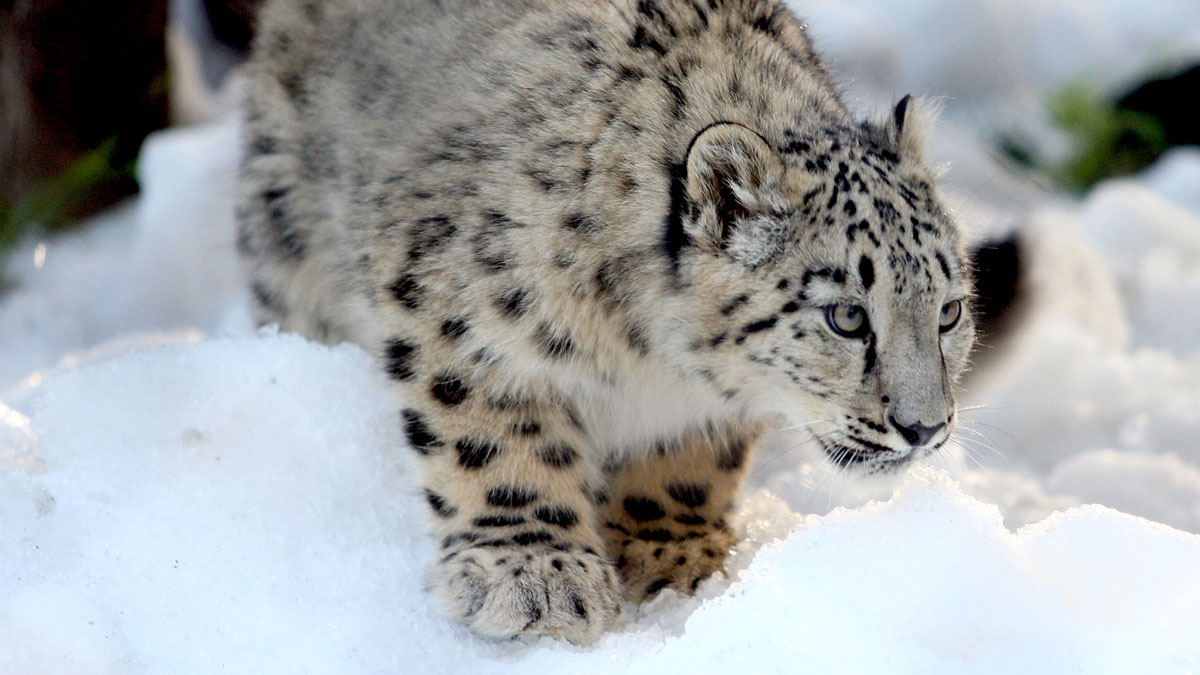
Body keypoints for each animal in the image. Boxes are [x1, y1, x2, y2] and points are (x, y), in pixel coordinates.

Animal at [237, 0, 976, 645]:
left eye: (949, 310)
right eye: (846, 316)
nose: (925, 428)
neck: (646, 357)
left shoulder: (697, 406)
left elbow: (690, 453)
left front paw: (671, 550)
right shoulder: (458, 311)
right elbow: (492, 430)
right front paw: (535, 574)